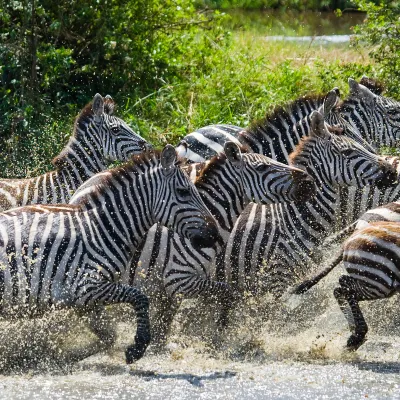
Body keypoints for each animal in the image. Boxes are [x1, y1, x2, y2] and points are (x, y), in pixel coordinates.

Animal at [0, 145, 219, 364]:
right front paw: (138, 347)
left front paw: (66, 354)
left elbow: (109, 335)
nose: (215, 234)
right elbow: (139, 297)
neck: (102, 229)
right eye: (183, 192)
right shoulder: (87, 286)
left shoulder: (84, 301)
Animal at [131, 141, 316, 340]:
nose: (309, 180)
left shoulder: (171, 290)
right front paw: (219, 332)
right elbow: (226, 296)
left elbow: (164, 325)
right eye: (262, 167)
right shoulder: (177, 278)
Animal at [290, 220, 400, 352]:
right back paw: (357, 334)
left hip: (375, 281)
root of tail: (355, 233)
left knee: (341, 287)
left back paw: (355, 332)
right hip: (380, 282)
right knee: (343, 286)